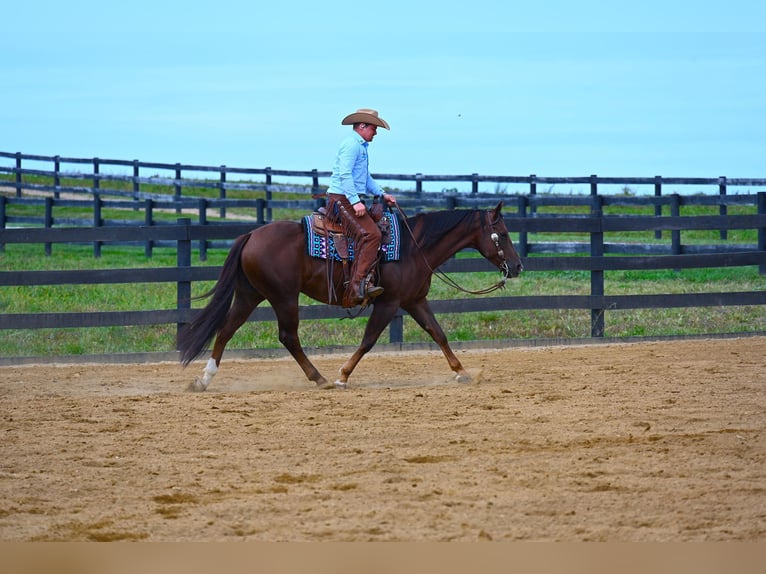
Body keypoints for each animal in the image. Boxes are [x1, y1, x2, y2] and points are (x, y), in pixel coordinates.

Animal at [178, 201, 524, 392]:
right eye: (504, 234)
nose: (518, 266)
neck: (415, 248)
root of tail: (250, 234)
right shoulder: (388, 303)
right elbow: (368, 340)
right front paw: (343, 376)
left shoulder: (414, 301)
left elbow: (438, 333)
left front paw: (463, 373)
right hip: (283, 297)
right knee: (288, 336)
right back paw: (320, 379)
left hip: (250, 295)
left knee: (226, 330)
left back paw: (203, 380)